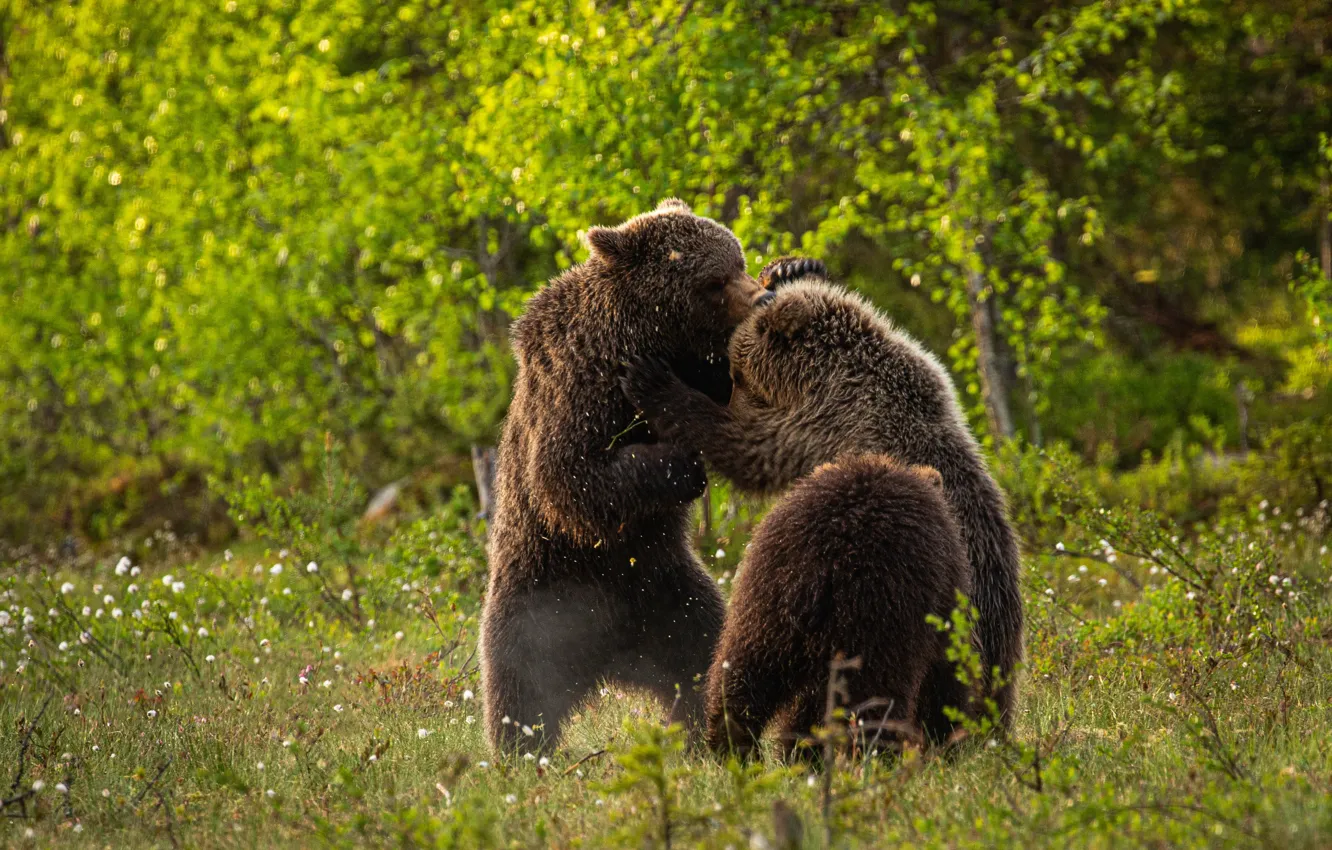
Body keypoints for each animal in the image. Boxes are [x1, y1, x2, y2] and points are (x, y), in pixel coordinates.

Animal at [480, 199, 773, 756]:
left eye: (739, 259)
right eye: (715, 280)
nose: (761, 297)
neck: (645, 338)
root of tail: (609, 661)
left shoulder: (699, 369)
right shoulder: (578, 389)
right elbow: (568, 476)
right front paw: (681, 464)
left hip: (670, 597)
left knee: (701, 655)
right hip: (540, 601)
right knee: (520, 686)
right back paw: (519, 752)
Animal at [705, 454, 973, 759]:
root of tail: (818, 563)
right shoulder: (942, 598)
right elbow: (944, 671)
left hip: (765, 601)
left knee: (744, 674)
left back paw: (734, 746)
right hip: (876, 617)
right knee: (873, 696)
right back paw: (872, 755)